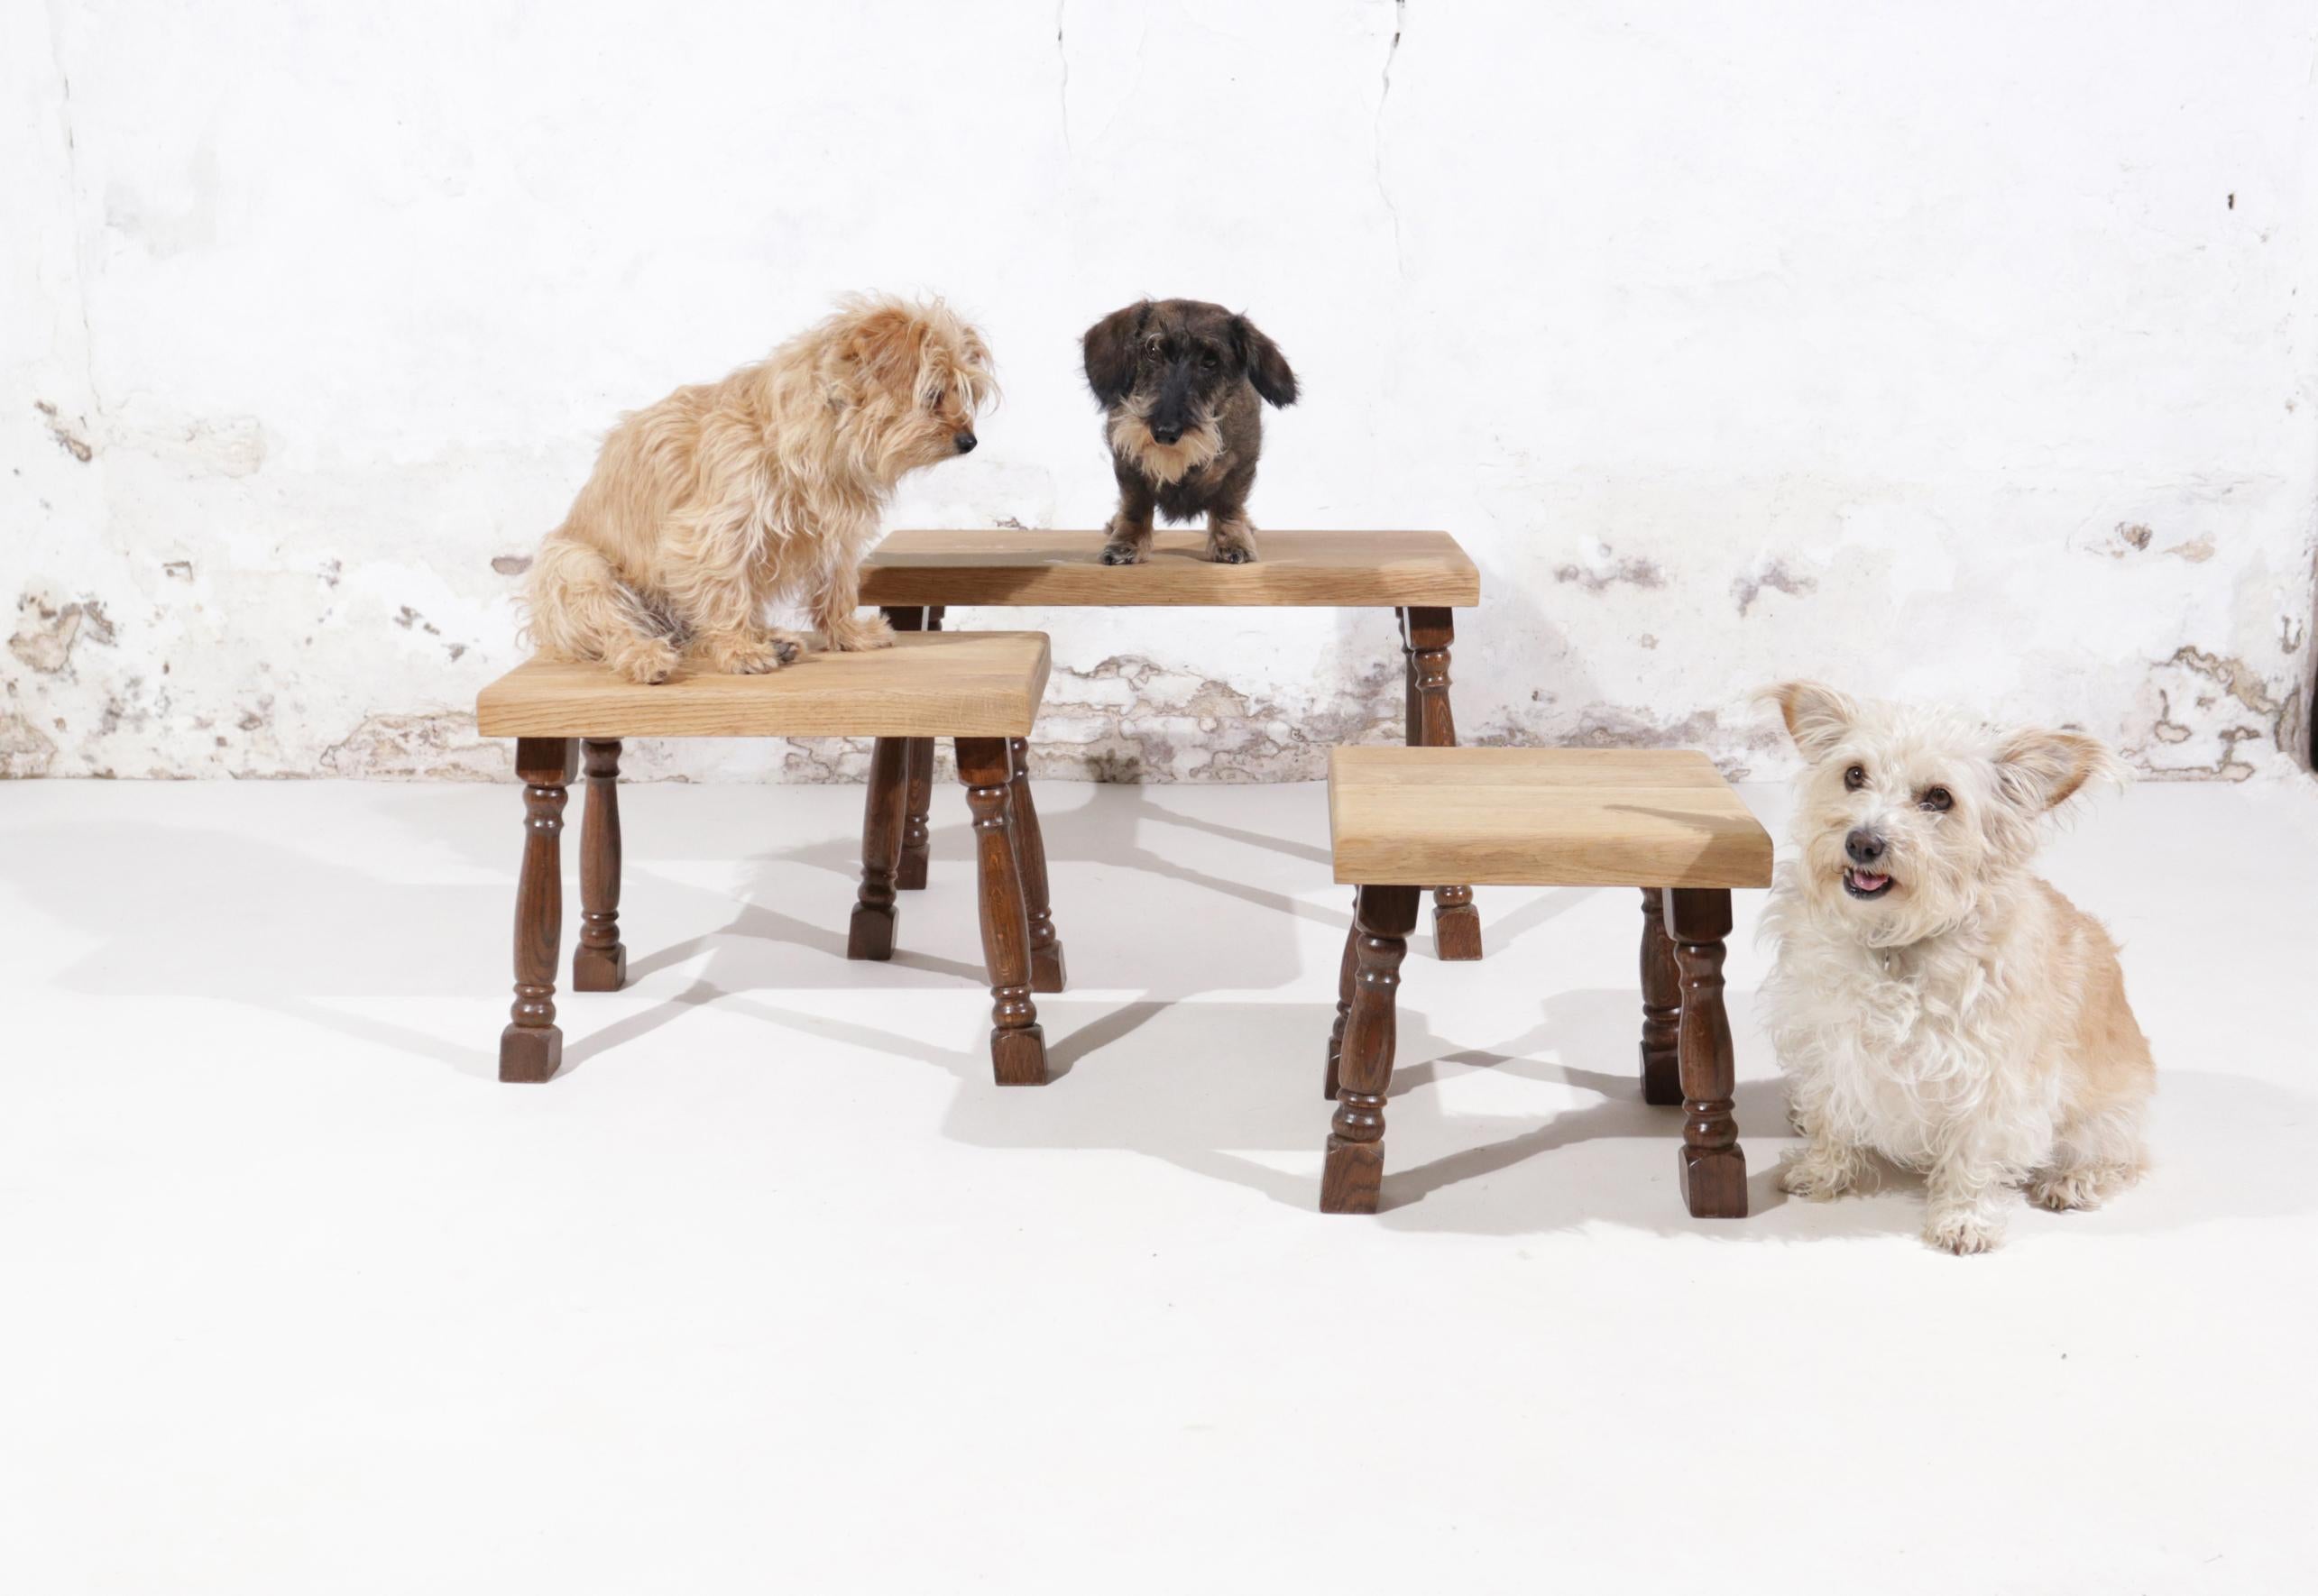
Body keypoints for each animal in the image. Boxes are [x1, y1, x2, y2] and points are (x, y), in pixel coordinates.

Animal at [526, 295, 997, 681]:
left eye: (965, 391)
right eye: (933, 394)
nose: (970, 441)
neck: (826, 435)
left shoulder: (834, 534)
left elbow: (836, 587)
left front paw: (847, 634)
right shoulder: (708, 534)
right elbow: (724, 591)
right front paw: (739, 650)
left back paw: (771, 638)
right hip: (574, 566)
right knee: (614, 629)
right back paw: (647, 656)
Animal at [1752, 676, 2150, 1251]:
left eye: (1939, 798)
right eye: (1854, 774)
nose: (1862, 841)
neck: (1896, 943)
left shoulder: (1995, 1079)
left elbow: (1975, 1154)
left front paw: (1964, 1217)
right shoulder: (1829, 1044)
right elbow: (1831, 1115)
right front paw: (1822, 1171)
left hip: (2109, 1113)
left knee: (2123, 1155)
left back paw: (2073, 1178)